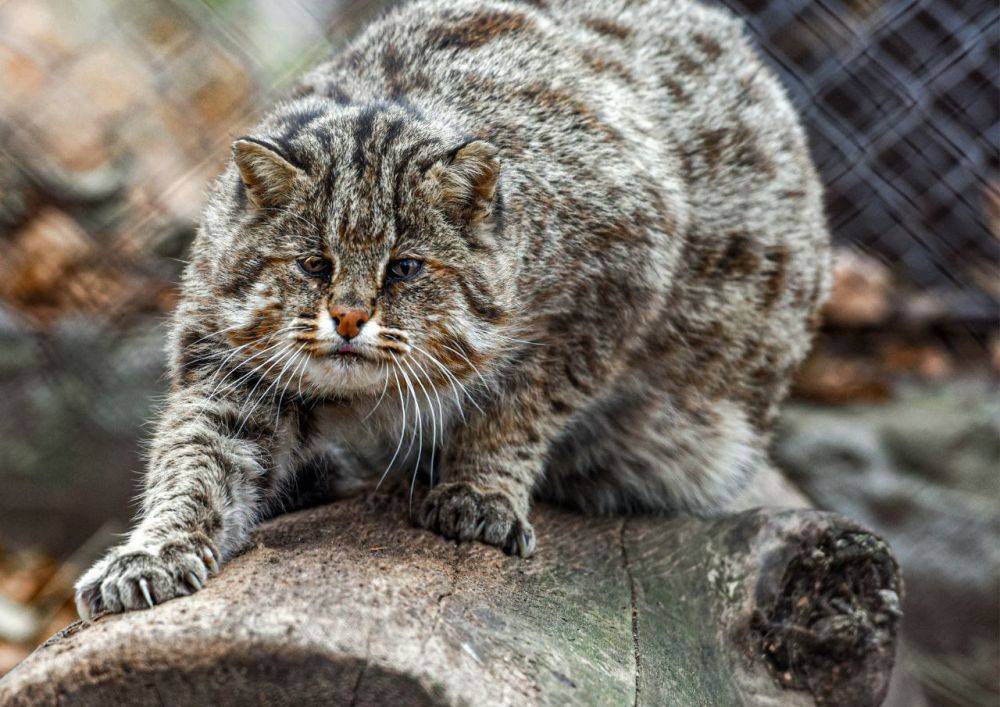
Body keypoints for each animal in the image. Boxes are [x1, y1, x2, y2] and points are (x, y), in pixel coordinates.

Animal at [74, 0, 832, 620]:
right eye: (314, 264)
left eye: (405, 268)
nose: (347, 319)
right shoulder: (229, 360)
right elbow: (196, 457)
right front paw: (152, 551)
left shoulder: (618, 282)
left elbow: (520, 405)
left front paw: (481, 492)